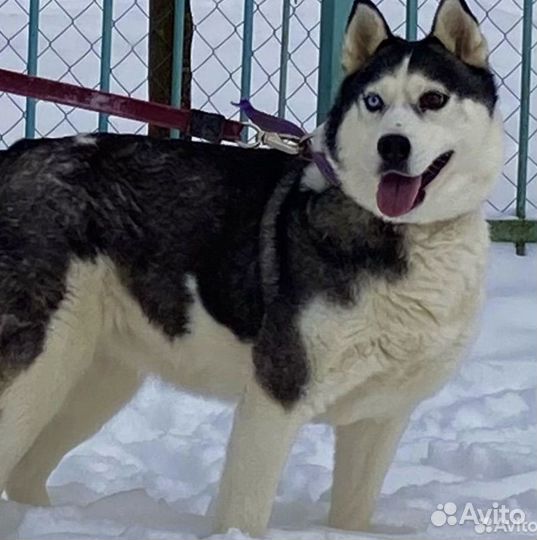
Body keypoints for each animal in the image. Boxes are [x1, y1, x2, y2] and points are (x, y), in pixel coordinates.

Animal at [1, 0, 502, 532]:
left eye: (434, 99)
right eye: (374, 102)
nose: (392, 145)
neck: (395, 230)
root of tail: (16, 155)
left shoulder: (380, 418)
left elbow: (352, 514)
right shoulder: (274, 397)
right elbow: (244, 509)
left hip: (97, 378)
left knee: (25, 474)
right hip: (42, 363)